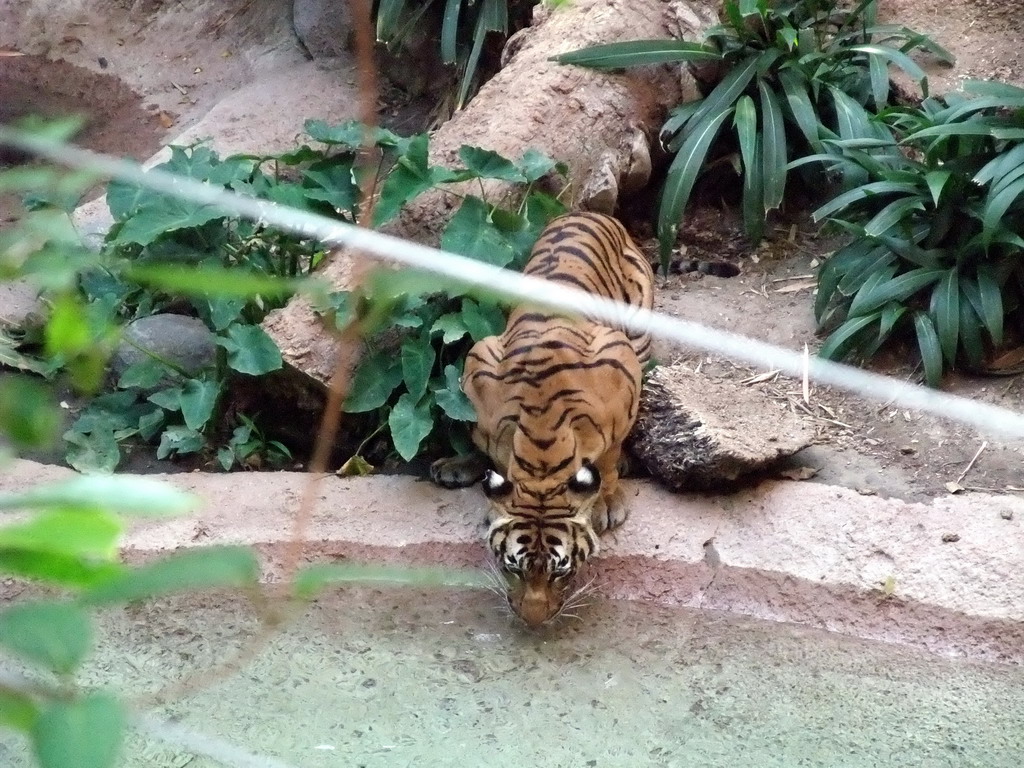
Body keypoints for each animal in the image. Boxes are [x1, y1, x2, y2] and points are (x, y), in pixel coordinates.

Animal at [430, 210, 655, 626]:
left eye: (561, 571)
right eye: (513, 568)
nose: (533, 621)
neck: (542, 451)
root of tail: (588, 212)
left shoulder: (622, 367)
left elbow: (609, 457)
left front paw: (605, 505)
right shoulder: (479, 371)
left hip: (641, 334)